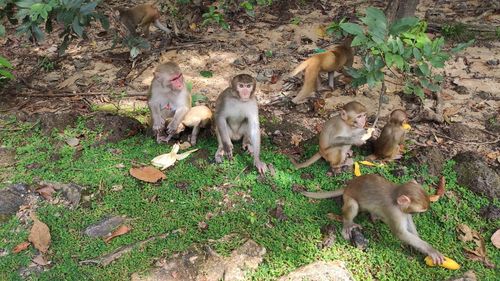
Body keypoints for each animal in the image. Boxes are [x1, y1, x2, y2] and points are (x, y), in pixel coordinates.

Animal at [300, 173, 446, 264]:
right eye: (418, 211)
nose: (417, 215)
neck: (395, 197)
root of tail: (348, 187)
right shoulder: (394, 212)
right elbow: (401, 233)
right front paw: (431, 250)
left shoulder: (403, 212)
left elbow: (409, 224)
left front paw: (419, 247)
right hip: (348, 197)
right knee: (353, 205)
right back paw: (347, 224)